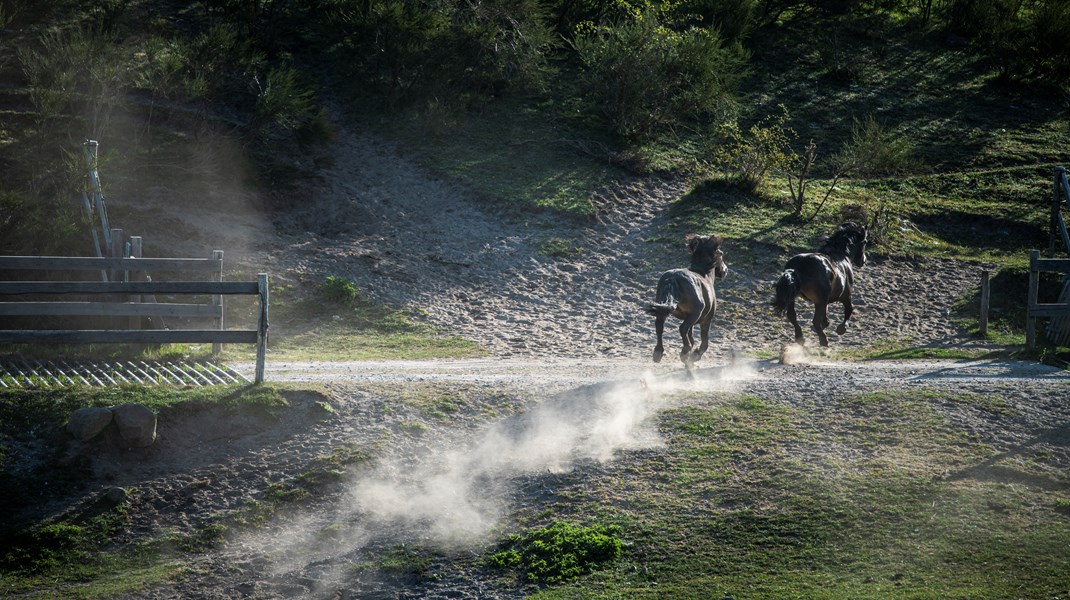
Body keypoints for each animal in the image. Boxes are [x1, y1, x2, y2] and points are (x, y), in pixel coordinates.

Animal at [642, 233, 727, 365]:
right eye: (721, 253)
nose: (725, 270)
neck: (704, 274)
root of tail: (672, 278)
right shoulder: (706, 320)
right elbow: (704, 343)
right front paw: (694, 355)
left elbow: (691, 336)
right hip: (695, 313)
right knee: (682, 328)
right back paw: (685, 351)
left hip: (664, 310)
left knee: (659, 326)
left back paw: (658, 352)